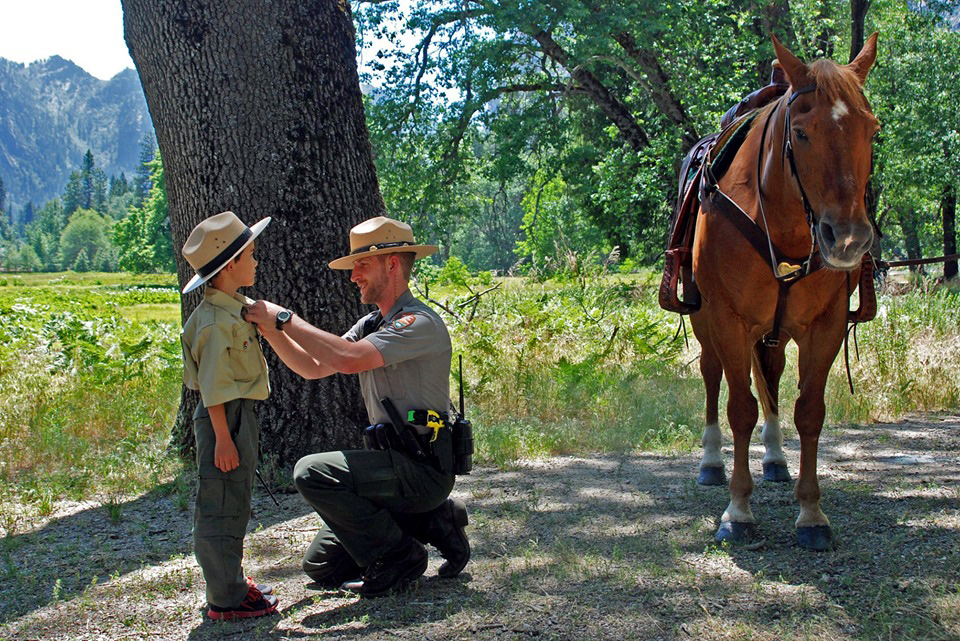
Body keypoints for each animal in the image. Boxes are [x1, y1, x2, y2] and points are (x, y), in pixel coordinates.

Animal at [688, 33, 876, 552]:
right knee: (713, 379)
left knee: (769, 376)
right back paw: (712, 463)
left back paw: (774, 457)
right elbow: (739, 409)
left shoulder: (824, 325)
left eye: (871, 130)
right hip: (705, 323)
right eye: (803, 133)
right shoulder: (728, 320)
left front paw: (811, 513)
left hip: (774, 331)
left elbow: (808, 411)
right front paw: (738, 510)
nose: (847, 238)